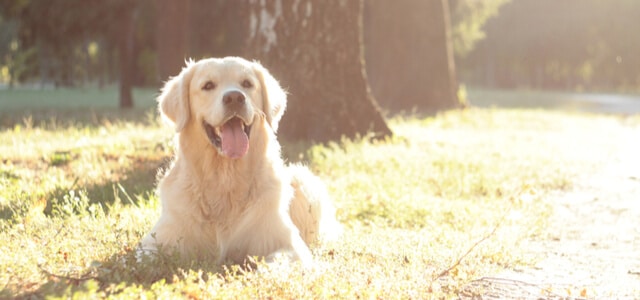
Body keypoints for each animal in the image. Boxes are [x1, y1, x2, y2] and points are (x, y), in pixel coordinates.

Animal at [140, 56, 340, 268]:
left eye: (247, 84)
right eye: (208, 85)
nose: (235, 98)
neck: (225, 179)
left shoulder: (290, 246)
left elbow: (272, 263)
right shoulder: (154, 242)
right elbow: (146, 258)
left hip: (304, 180)